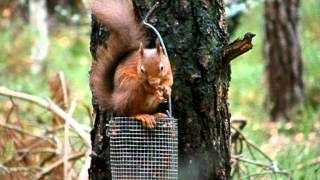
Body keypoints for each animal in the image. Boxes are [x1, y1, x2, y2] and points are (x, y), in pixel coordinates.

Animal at [89, 0, 174, 128]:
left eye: (162, 67)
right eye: (142, 70)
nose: (154, 82)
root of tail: (115, 102)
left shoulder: (168, 71)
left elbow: (169, 81)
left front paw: (166, 90)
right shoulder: (140, 81)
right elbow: (146, 87)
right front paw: (154, 90)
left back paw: (157, 114)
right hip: (132, 92)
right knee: (131, 112)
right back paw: (143, 116)